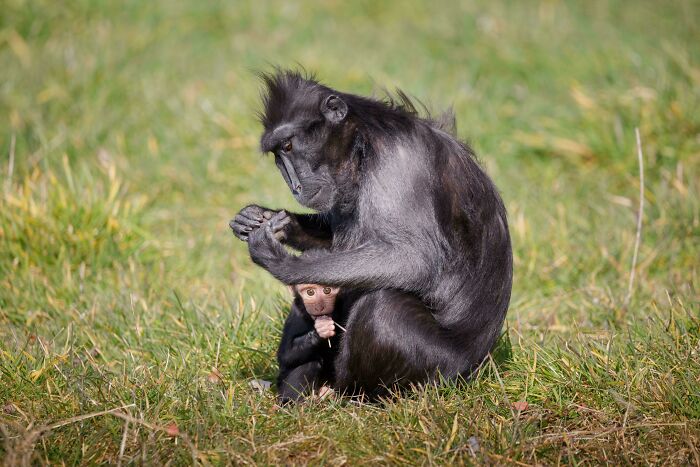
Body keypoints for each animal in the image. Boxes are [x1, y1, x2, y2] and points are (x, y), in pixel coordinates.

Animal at [230, 70, 512, 398]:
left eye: (288, 146)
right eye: (277, 154)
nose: (295, 186)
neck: (362, 143)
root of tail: (479, 366)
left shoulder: (399, 164)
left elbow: (414, 259)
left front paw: (283, 262)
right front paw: (264, 218)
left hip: (441, 372)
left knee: (383, 308)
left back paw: (347, 395)